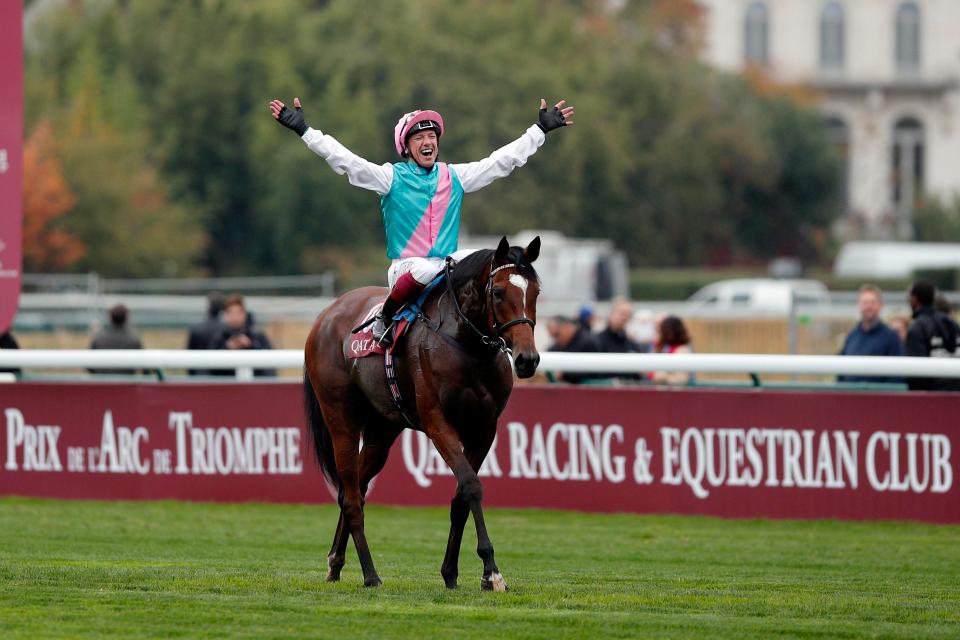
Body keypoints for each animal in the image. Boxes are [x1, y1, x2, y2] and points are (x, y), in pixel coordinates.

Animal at [304, 235, 540, 592]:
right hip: (341, 421)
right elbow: (471, 486)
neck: (466, 346)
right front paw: (492, 571)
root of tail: (326, 315)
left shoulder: (484, 429)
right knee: (352, 497)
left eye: (536, 291)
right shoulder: (438, 422)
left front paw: (452, 572)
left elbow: (460, 498)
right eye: (498, 292)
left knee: (352, 489)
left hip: (381, 432)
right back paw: (370, 574)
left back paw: (336, 562)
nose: (528, 359)